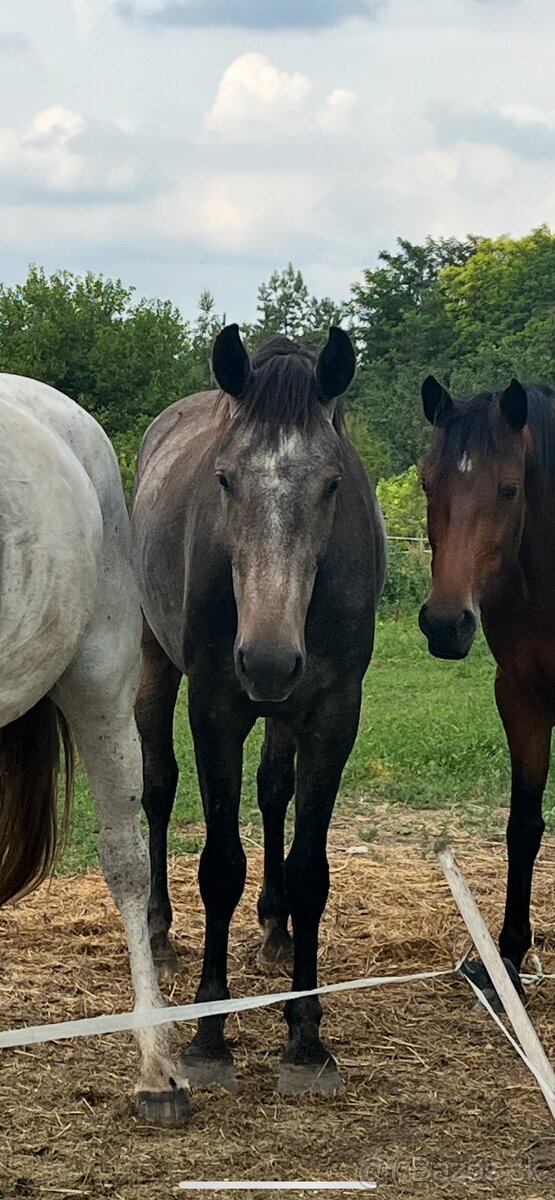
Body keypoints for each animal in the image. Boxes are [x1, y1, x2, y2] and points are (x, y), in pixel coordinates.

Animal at [132, 326, 386, 1099]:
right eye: (223, 479)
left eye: (331, 483)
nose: (268, 660)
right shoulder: (216, 708)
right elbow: (219, 865)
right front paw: (210, 1034)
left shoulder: (332, 714)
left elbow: (309, 870)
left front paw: (305, 1037)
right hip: (156, 663)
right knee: (158, 787)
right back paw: (159, 931)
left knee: (274, 791)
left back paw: (275, 932)